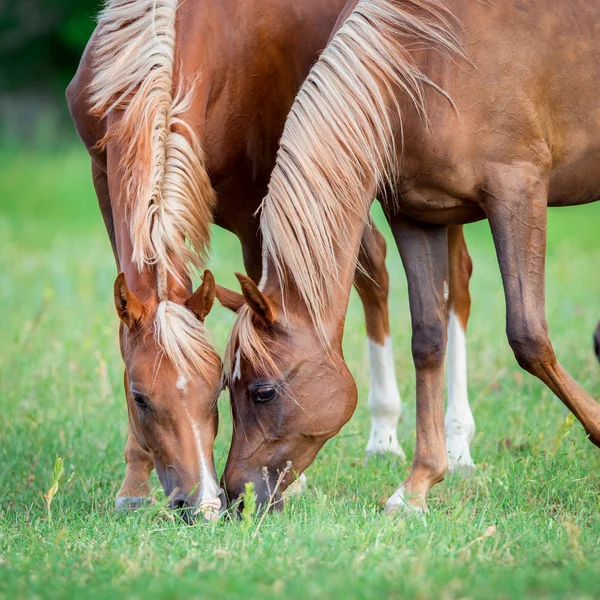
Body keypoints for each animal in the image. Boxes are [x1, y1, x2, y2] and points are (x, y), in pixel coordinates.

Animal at [65, 0, 476, 516]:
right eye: (140, 398)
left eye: (215, 389)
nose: (203, 506)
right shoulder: (104, 178)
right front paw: (133, 487)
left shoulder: (259, 202)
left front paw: (287, 482)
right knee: (375, 272)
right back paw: (384, 434)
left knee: (453, 284)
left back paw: (457, 444)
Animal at [223, 0, 600, 516]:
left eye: (263, 391)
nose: (234, 497)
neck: (425, 64)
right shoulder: (416, 215)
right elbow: (427, 340)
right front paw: (419, 483)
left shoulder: (517, 191)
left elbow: (528, 336)